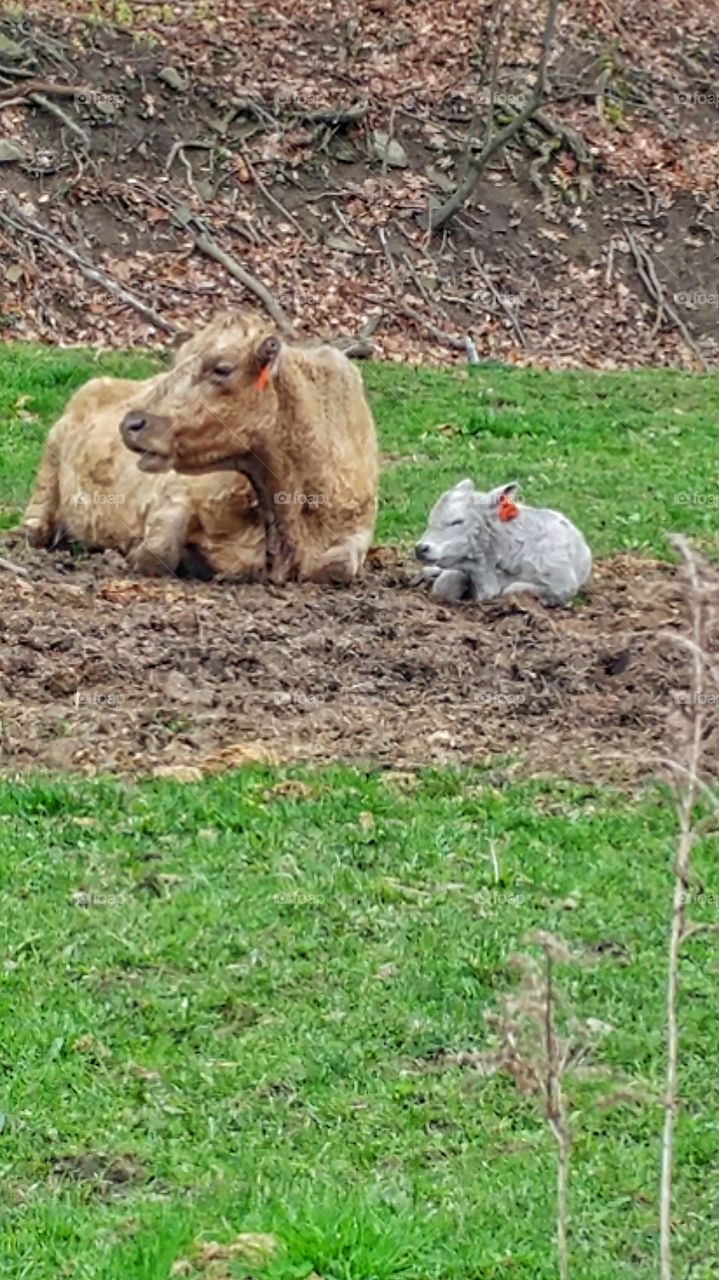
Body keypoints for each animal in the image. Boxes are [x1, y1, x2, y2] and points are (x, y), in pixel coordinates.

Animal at [120, 310, 379, 584]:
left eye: (222, 369)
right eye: (176, 361)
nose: (131, 424)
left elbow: (338, 566)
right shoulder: (177, 492)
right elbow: (156, 554)